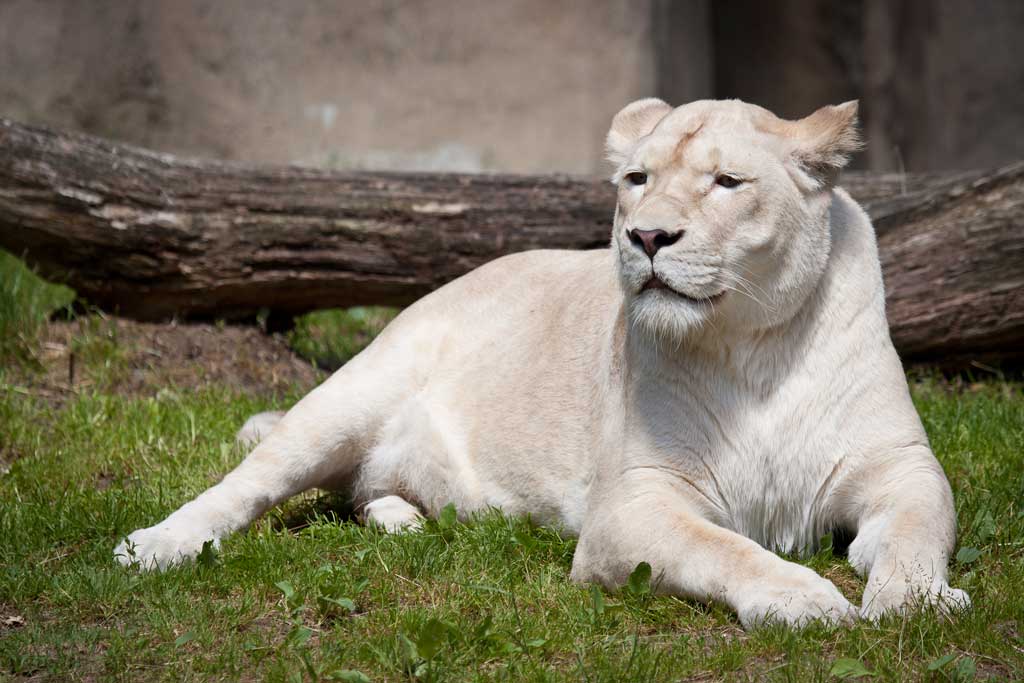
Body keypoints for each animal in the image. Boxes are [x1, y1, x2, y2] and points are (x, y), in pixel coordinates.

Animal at [115, 98, 969, 628]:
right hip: (348, 397)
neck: (751, 345)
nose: (646, 236)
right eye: (636, 179)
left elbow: (920, 523)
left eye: (727, 182)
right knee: (245, 485)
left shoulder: (900, 463)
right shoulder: (632, 505)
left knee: (358, 491)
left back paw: (405, 517)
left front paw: (917, 600)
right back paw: (153, 546)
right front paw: (806, 599)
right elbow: (727, 547)